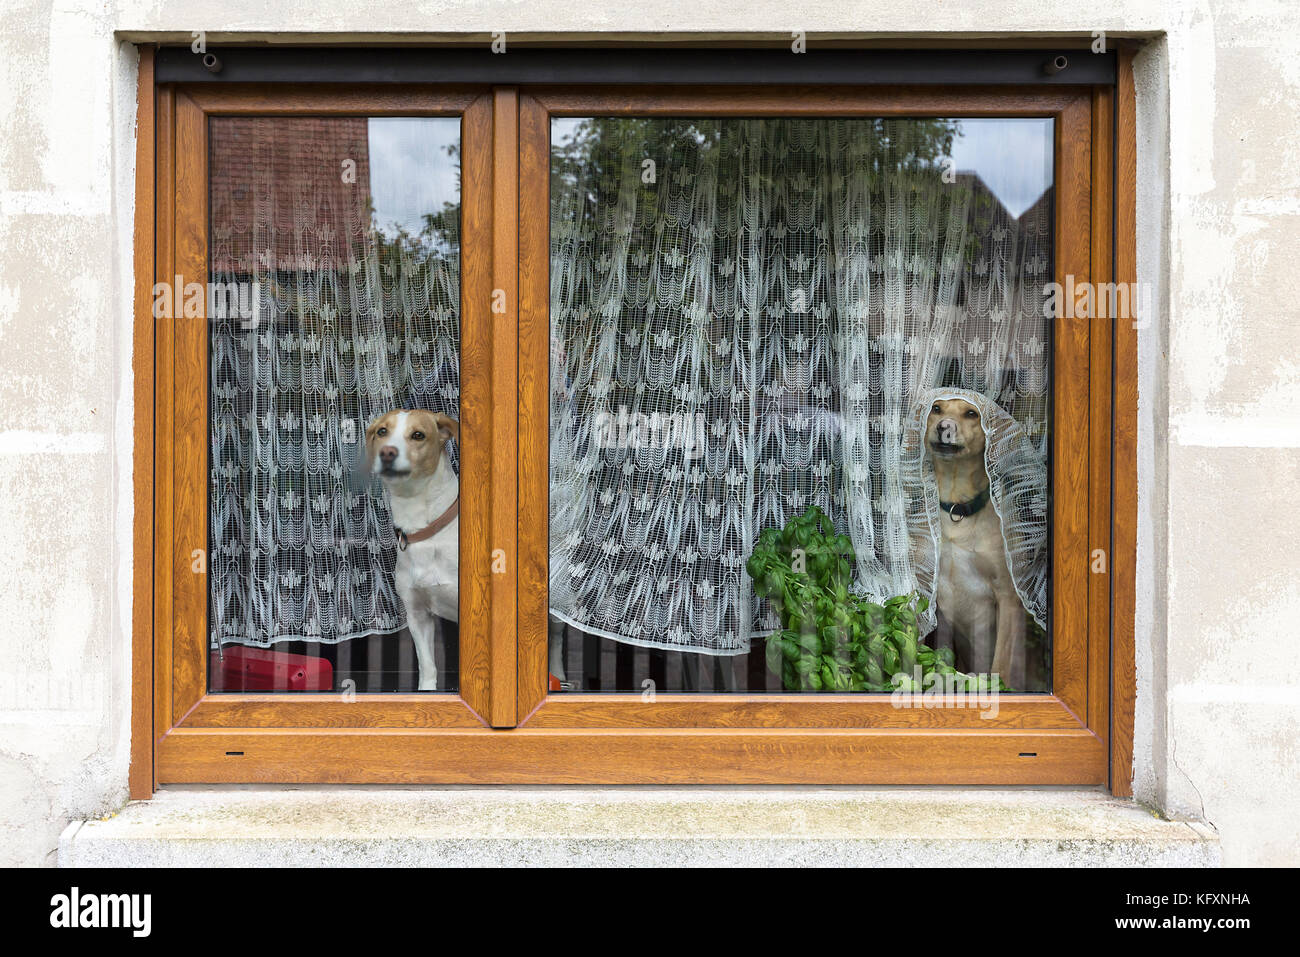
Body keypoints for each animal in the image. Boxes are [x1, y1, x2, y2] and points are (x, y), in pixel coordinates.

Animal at [925, 395, 1024, 686]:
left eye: (971, 413)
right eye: (936, 409)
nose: (944, 427)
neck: (957, 508)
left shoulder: (1007, 597)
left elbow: (1000, 667)